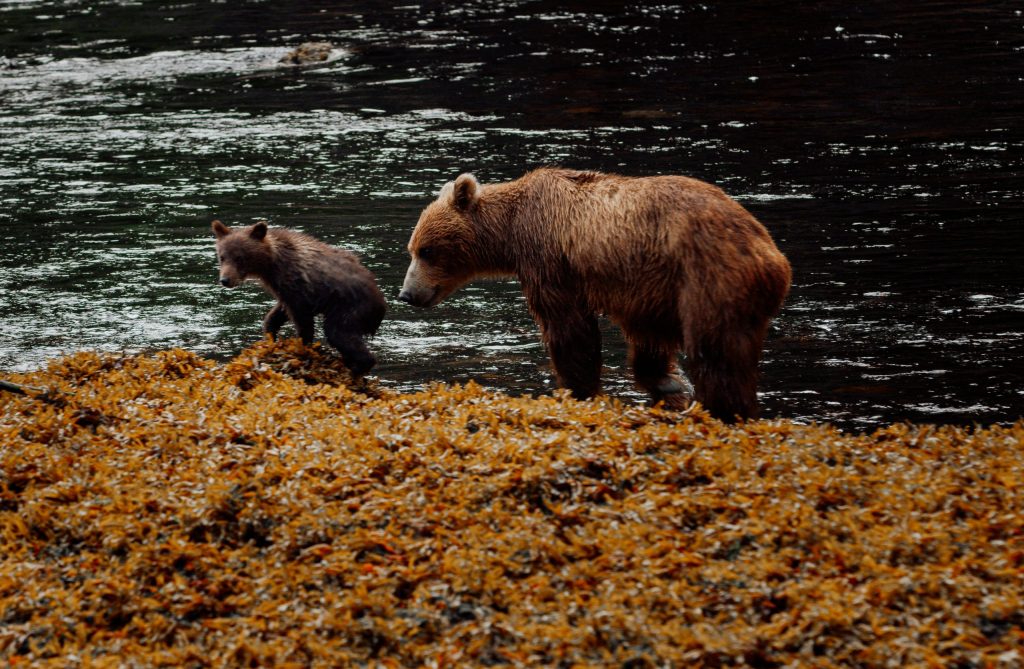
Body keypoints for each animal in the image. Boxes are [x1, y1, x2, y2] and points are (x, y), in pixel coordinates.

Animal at [212, 219, 386, 378]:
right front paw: (270, 334)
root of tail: (382, 304)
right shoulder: (283, 289)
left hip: (350, 307)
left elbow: (302, 320)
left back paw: (356, 368)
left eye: (240, 258)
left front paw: (301, 347)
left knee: (338, 333)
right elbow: (279, 312)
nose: (225, 280)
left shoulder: (298, 286)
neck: (271, 262)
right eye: (222, 257)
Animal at [397, 168, 791, 422]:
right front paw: (667, 384)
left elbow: (568, 327)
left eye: (427, 251)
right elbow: (647, 336)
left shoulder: (548, 256)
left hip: (710, 277)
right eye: (411, 249)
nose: (407, 293)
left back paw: (724, 408)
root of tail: (773, 257)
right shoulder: (651, 289)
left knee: (716, 349)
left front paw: (578, 386)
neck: (509, 233)